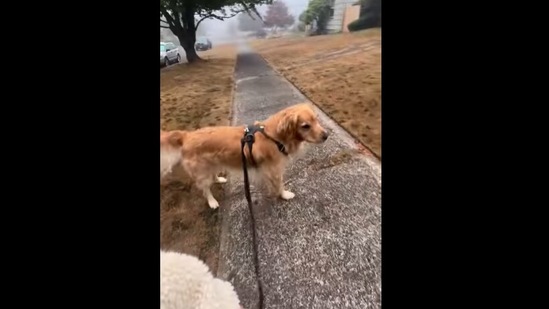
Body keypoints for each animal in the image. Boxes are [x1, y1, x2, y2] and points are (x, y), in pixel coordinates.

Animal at [161, 102, 328, 208]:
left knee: (212, 176)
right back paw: (212, 202)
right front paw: (285, 195)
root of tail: (186, 135)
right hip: (202, 171)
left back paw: (219, 179)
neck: (273, 135)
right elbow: (279, 184)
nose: (326, 135)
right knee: (205, 189)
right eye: (305, 126)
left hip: (213, 163)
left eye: (316, 120)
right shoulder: (273, 170)